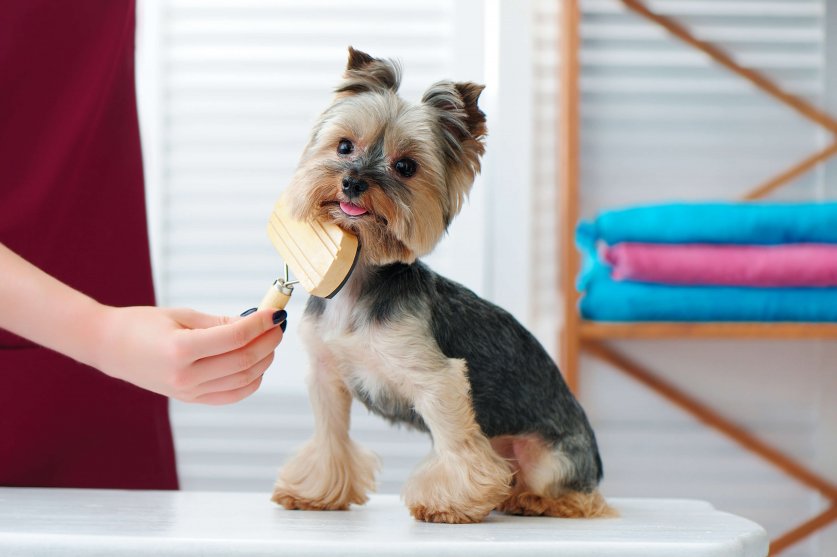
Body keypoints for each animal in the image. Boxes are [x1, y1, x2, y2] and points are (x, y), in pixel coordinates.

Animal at [272, 46, 612, 520]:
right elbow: (330, 436)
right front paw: (316, 491)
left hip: (551, 457)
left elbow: (456, 443)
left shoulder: (438, 380)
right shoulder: (327, 375)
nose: (353, 181)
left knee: (582, 497)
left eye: (405, 167)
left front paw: (451, 503)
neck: (358, 279)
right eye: (344, 145)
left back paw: (533, 499)